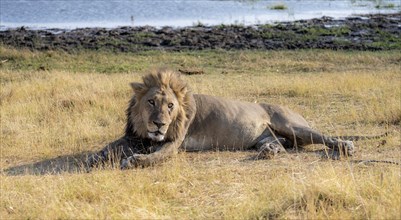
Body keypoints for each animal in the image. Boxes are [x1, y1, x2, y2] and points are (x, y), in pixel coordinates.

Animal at [85, 69, 382, 169]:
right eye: (151, 102)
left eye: (170, 106)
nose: (159, 124)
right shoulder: (133, 136)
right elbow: (111, 145)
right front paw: (94, 157)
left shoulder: (173, 143)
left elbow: (156, 156)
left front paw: (136, 161)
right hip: (266, 136)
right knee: (278, 145)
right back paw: (270, 151)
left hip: (292, 124)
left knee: (324, 137)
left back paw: (345, 146)